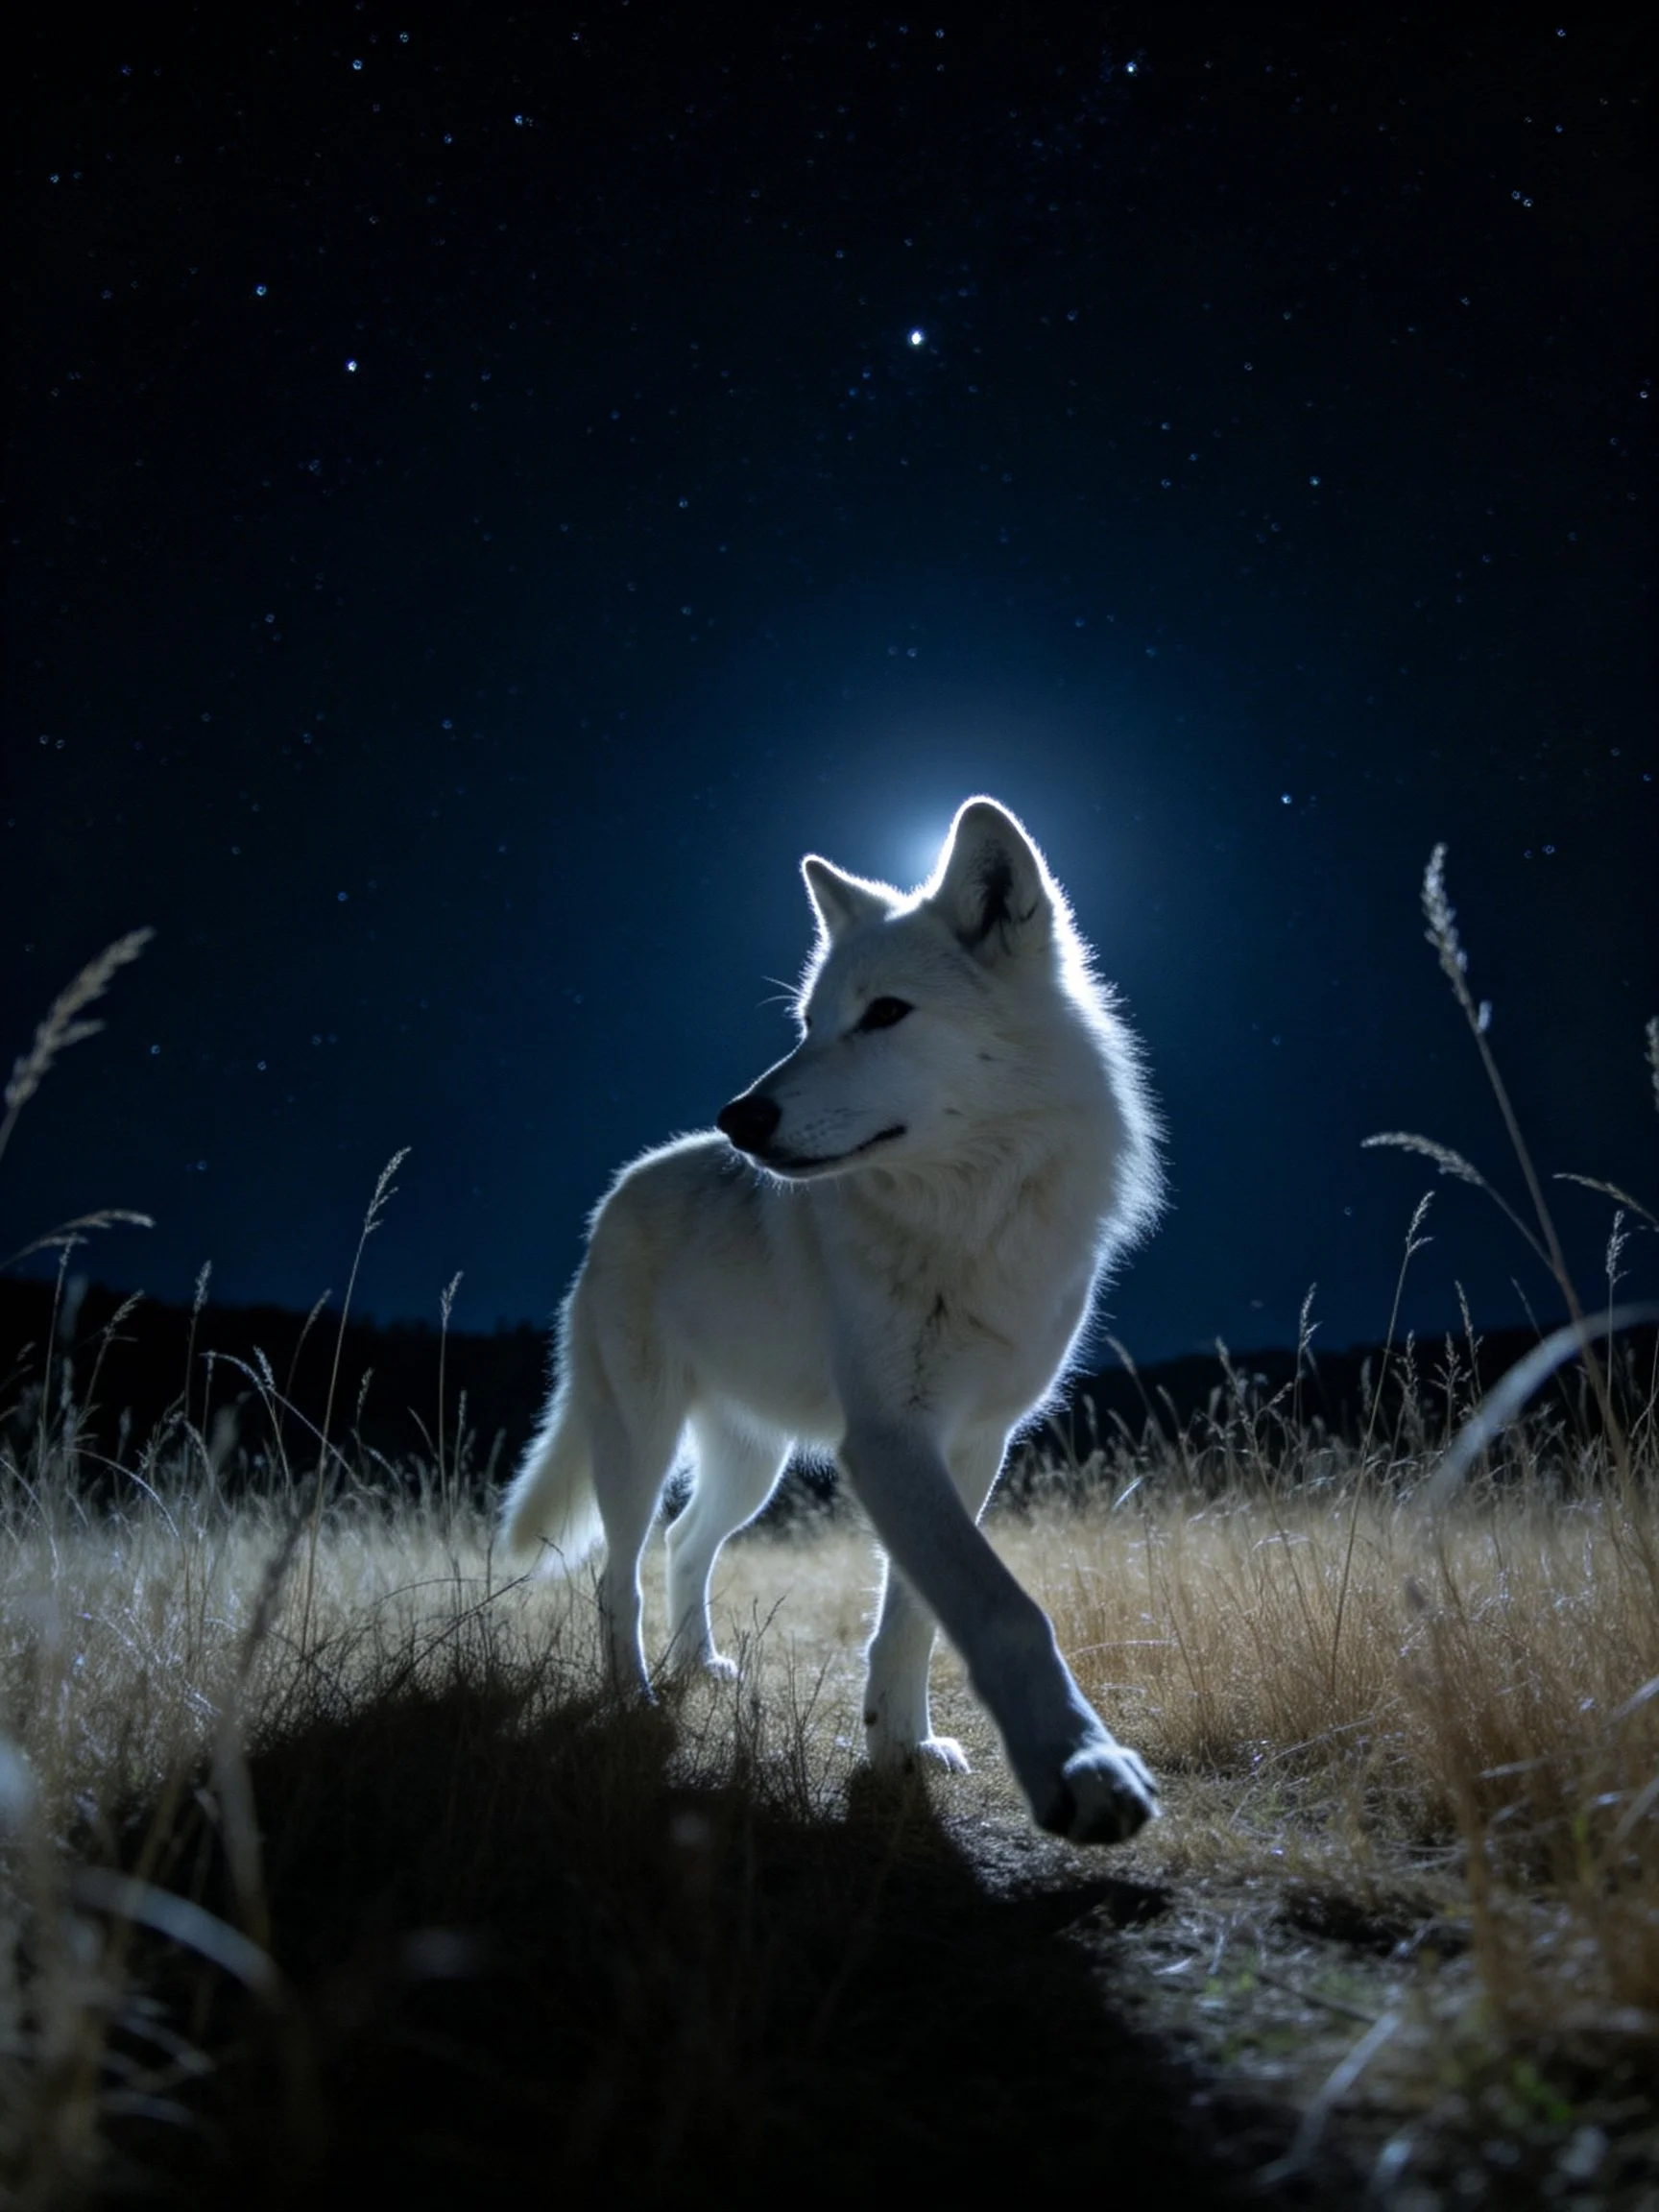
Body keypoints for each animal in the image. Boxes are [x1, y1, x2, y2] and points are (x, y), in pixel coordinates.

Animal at [500, 797, 1163, 1843]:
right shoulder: (887, 1440)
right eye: (808, 1026)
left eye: (884, 1013)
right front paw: (1083, 1766)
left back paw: (699, 1671)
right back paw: (636, 1701)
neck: (966, 1220)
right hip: (640, 1444)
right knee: (620, 1573)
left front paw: (902, 1750)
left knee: (686, 1544)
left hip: (753, 1464)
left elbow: (917, 1617)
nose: (737, 1119)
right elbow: (1006, 1611)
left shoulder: (970, 1444)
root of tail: (621, 1188)